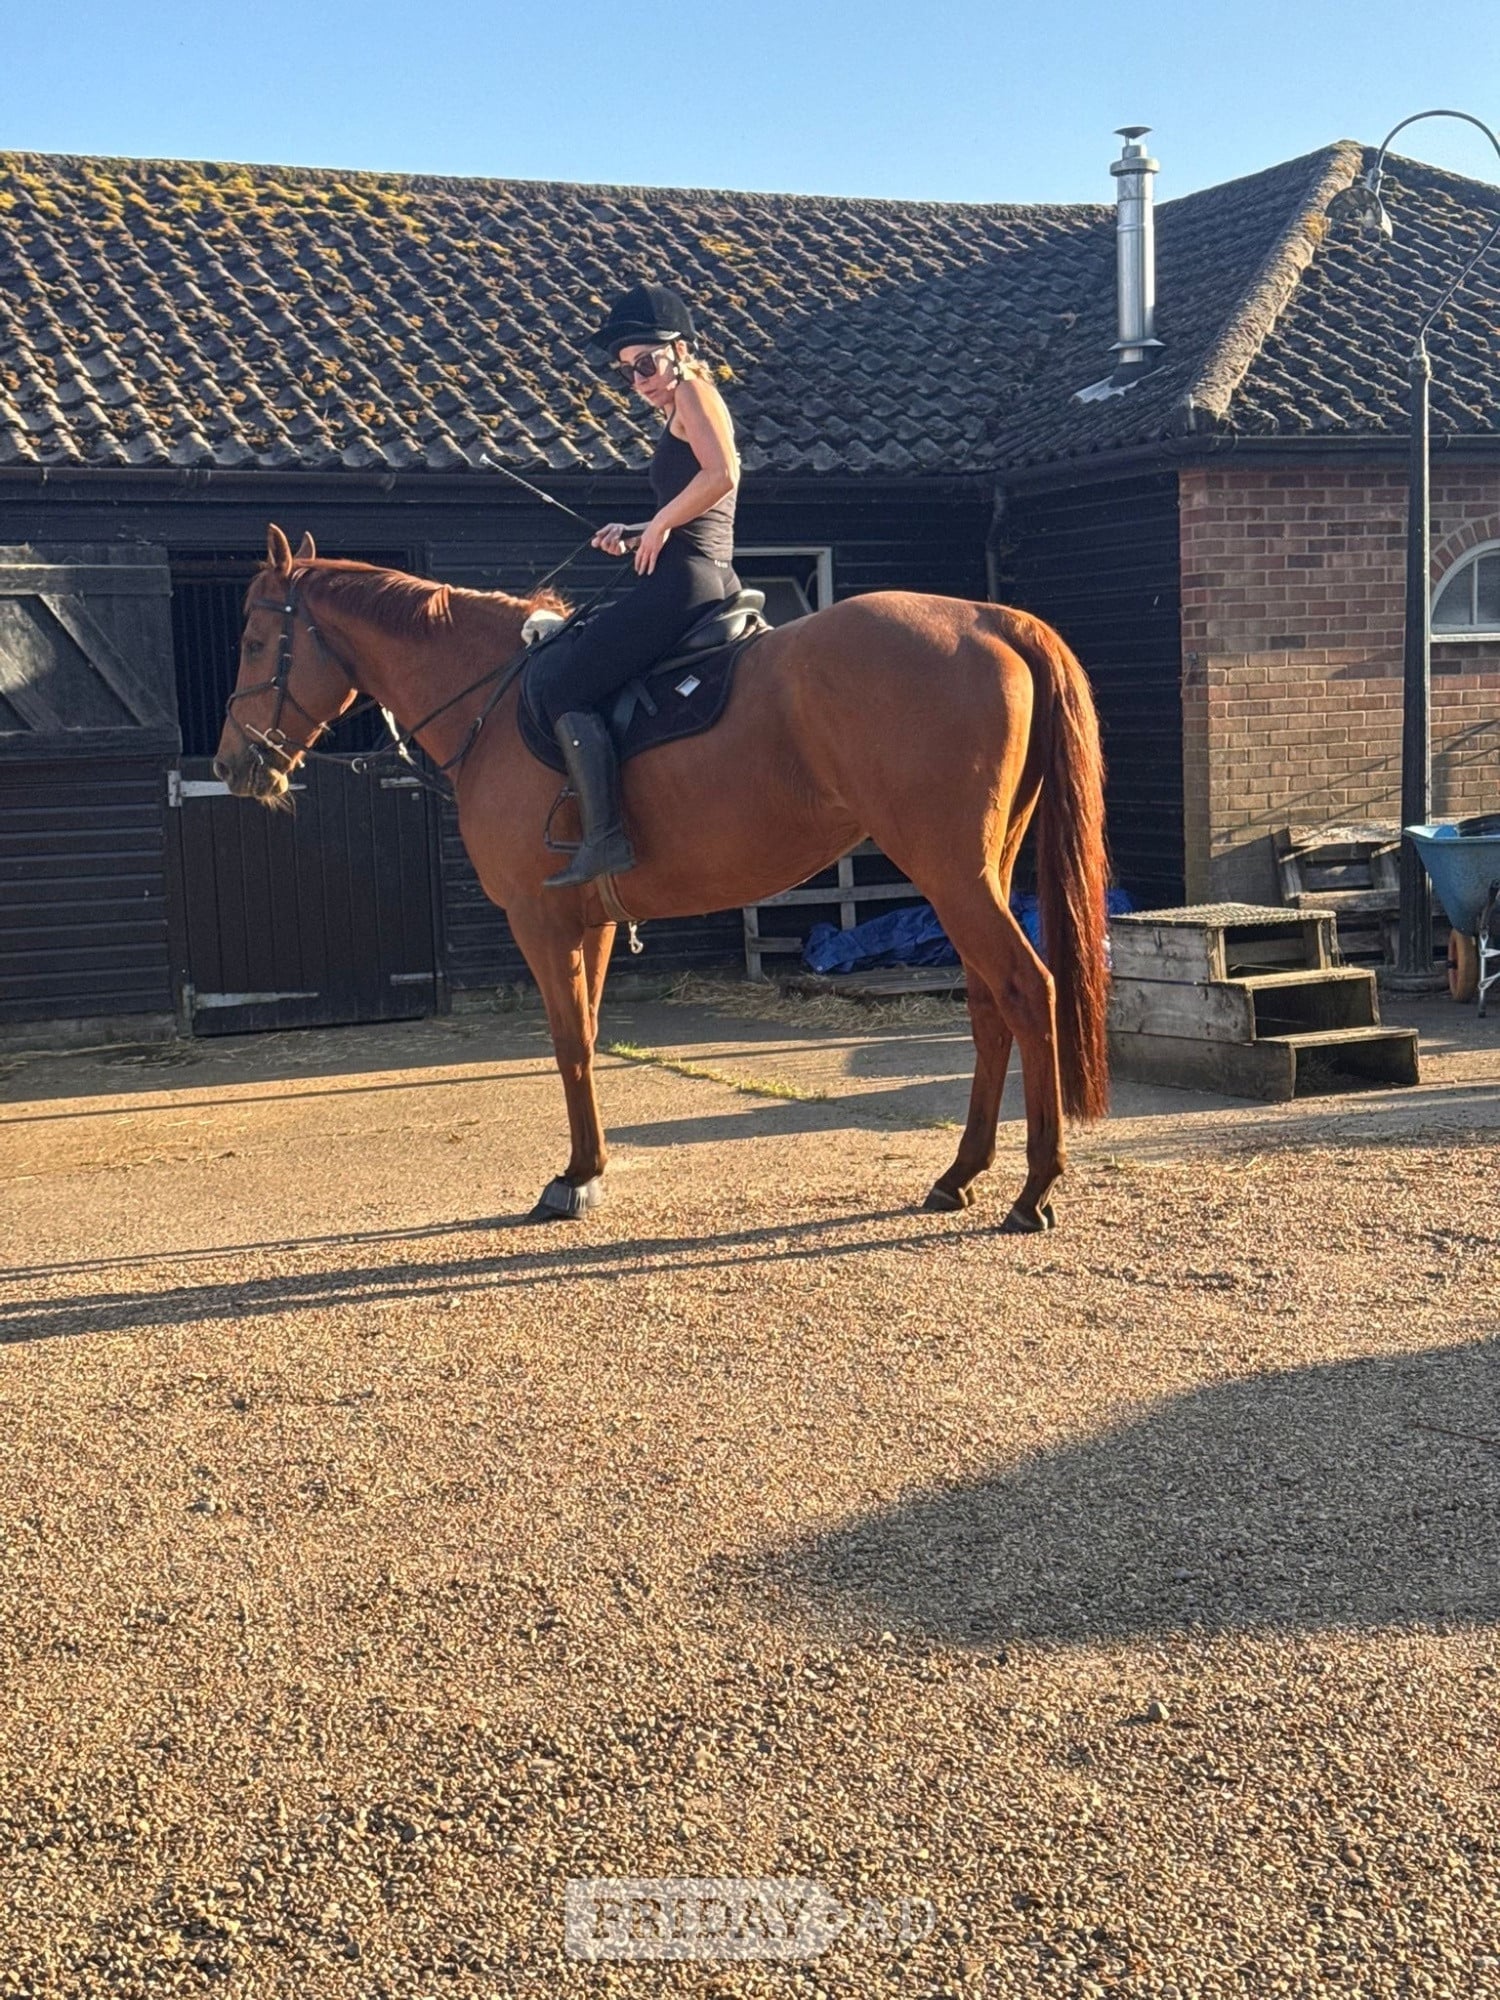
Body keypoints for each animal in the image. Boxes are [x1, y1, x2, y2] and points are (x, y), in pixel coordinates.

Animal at [215, 525, 1110, 1232]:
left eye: (255, 642)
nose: (230, 765)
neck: (496, 700)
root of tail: (990, 616)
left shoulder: (539, 921)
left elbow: (567, 1039)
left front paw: (574, 1179)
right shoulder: (597, 920)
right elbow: (587, 1036)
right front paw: (591, 1167)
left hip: (953, 872)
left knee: (1028, 990)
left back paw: (1033, 1189)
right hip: (977, 871)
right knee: (990, 1006)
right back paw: (960, 1174)